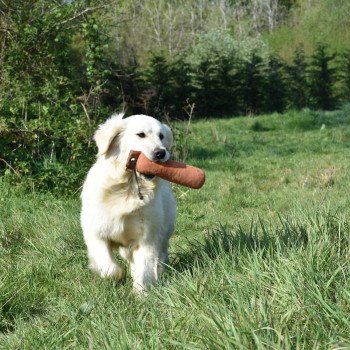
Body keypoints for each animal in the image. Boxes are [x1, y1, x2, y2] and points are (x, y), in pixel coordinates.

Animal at [80, 113, 176, 292]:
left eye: (161, 136)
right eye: (141, 134)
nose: (161, 153)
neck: (127, 187)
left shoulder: (147, 237)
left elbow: (144, 269)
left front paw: (141, 293)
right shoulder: (95, 233)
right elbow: (109, 268)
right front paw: (117, 275)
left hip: (165, 231)